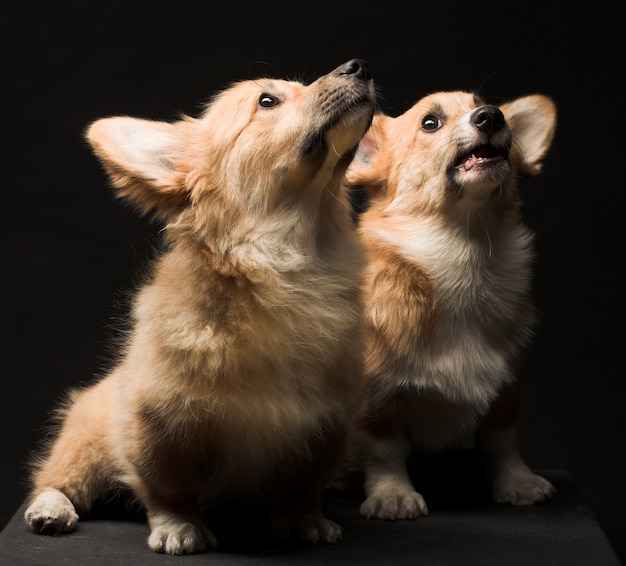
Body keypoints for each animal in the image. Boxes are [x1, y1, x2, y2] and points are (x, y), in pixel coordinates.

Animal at [23, 60, 376, 556]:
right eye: (267, 101)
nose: (356, 66)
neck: (287, 266)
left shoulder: (324, 428)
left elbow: (301, 484)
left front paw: (303, 519)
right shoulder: (160, 425)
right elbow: (168, 487)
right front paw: (179, 526)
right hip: (85, 442)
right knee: (56, 480)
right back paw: (51, 509)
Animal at [346, 91, 556, 520]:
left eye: (485, 105)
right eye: (430, 122)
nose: (491, 116)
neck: (464, 256)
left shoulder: (508, 390)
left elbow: (502, 443)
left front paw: (518, 483)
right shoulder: (374, 402)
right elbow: (386, 450)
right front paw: (393, 496)